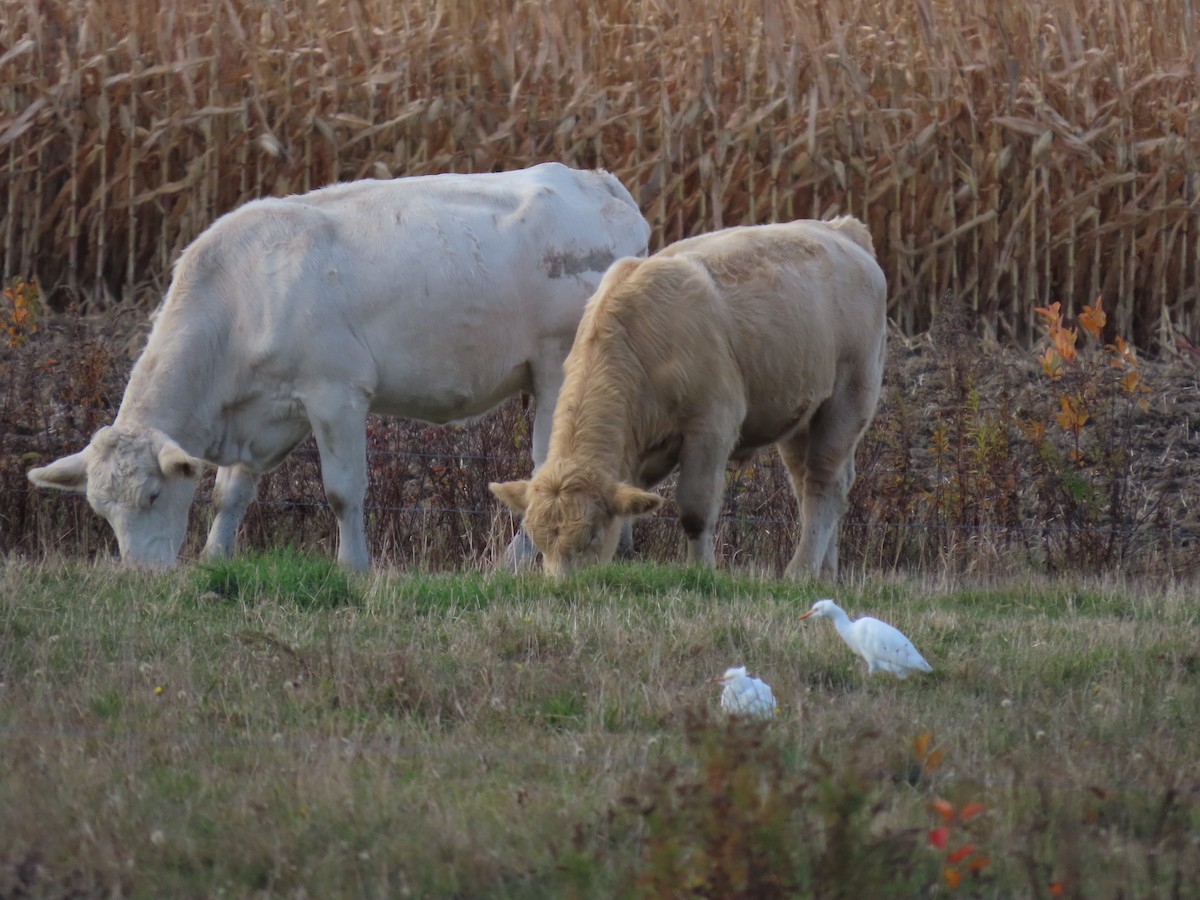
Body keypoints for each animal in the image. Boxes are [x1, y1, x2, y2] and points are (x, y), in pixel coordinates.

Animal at [27, 163, 651, 570]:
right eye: (100, 510)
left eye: (153, 497)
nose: (141, 575)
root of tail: (600, 183)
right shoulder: (267, 410)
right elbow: (232, 492)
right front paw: (215, 558)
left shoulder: (336, 393)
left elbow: (343, 491)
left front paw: (353, 568)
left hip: (558, 367)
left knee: (548, 464)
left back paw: (512, 565)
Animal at [489, 216, 886, 579]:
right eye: (538, 541)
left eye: (591, 535)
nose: (561, 587)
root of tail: (840, 229)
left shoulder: (711, 428)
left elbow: (695, 510)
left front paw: (702, 570)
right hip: (799, 414)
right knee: (813, 485)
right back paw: (825, 571)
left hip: (848, 399)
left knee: (823, 484)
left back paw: (800, 571)